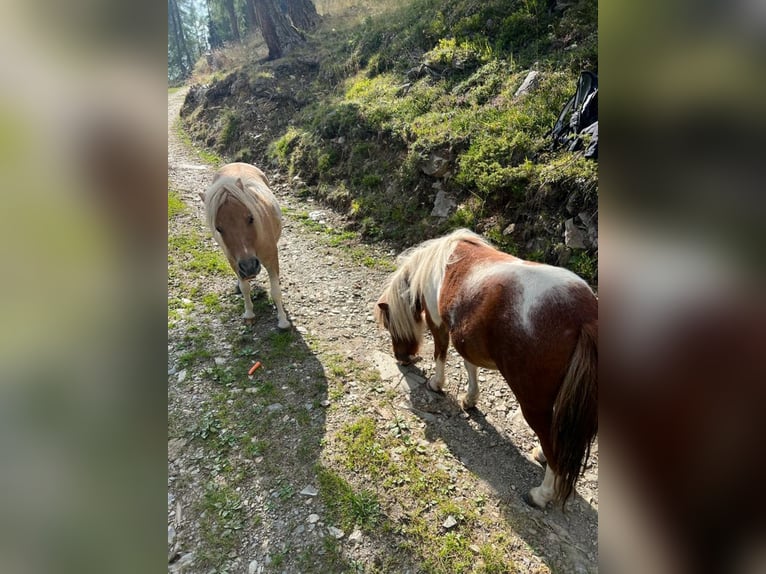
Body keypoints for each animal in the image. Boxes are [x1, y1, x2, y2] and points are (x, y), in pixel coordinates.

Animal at [201, 164, 292, 330]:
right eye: (218, 228)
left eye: (251, 218)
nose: (249, 267)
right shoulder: (234, 262)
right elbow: (245, 289)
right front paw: (249, 314)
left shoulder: (272, 259)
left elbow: (275, 291)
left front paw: (283, 321)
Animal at [378, 228, 600, 508]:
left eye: (389, 324)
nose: (402, 358)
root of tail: (585, 318)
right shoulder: (465, 336)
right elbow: (469, 366)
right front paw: (470, 399)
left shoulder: (439, 325)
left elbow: (441, 354)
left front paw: (436, 385)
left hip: (533, 405)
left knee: (554, 447)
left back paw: (541, 494)